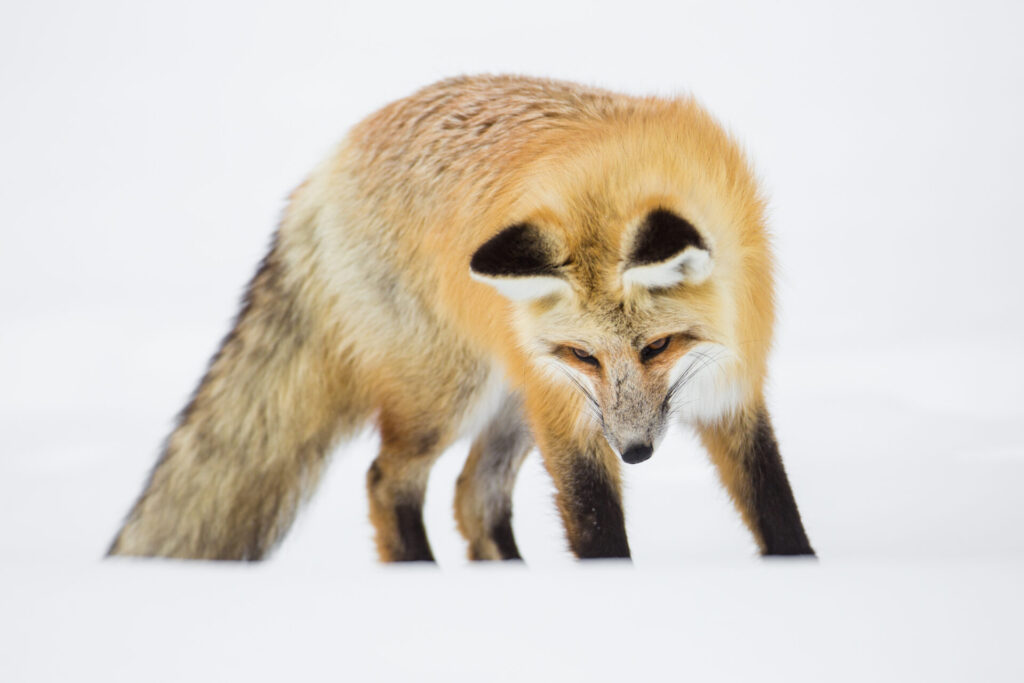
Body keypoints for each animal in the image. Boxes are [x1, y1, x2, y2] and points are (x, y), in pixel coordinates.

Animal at [108, 74, 814, 563]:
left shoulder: (732, 393)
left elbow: (778, 512)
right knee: (386, 481)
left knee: (473, 499)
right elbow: (596, 528)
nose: (635, 451)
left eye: (659, 346)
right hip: (450, 397)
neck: (604, 180)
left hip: (514, 401)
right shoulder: (573, 416)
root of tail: (322, 171)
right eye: (584, 354)